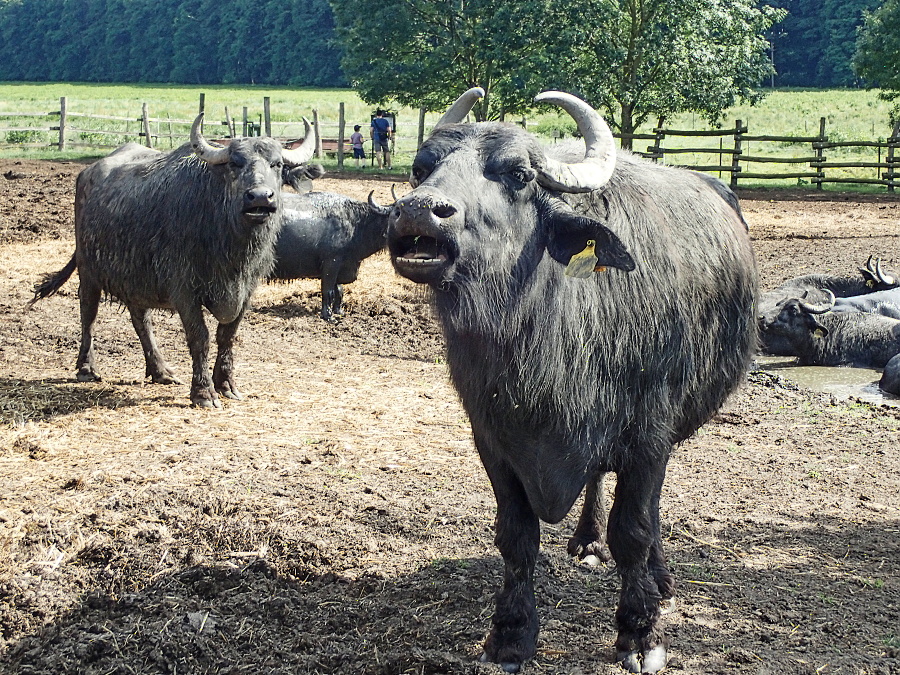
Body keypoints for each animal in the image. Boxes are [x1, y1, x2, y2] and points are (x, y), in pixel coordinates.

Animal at [30, 117, 316, 406]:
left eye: (277, 164)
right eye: (235, 163)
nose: (259, 197)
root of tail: (87, 173)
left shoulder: (247, 289)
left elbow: (227, 336)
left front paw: (226, 384)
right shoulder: (184, 289)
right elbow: (200, 337)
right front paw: (203, 392)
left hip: (136, 278)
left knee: (141, 320)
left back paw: (160, 370)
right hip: (89, 270)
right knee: (88, 313)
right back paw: (87, 368)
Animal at [268, 187, 392, 320]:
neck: (356, 224)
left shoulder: (341, 266)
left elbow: (339, 290)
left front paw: (339, 311)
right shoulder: (331, 263)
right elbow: (328, 291)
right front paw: (328, 316)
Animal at [386, 88, 760, 672]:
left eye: (518, 175)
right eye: (421, 169)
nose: (419, 210)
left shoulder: (649, 435)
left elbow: (634, 530)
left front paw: (640, 633)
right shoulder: (492, 436)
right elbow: (516, 536)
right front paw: (511, 634)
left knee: (648, 509)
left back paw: (658, 575)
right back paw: (586, 540)